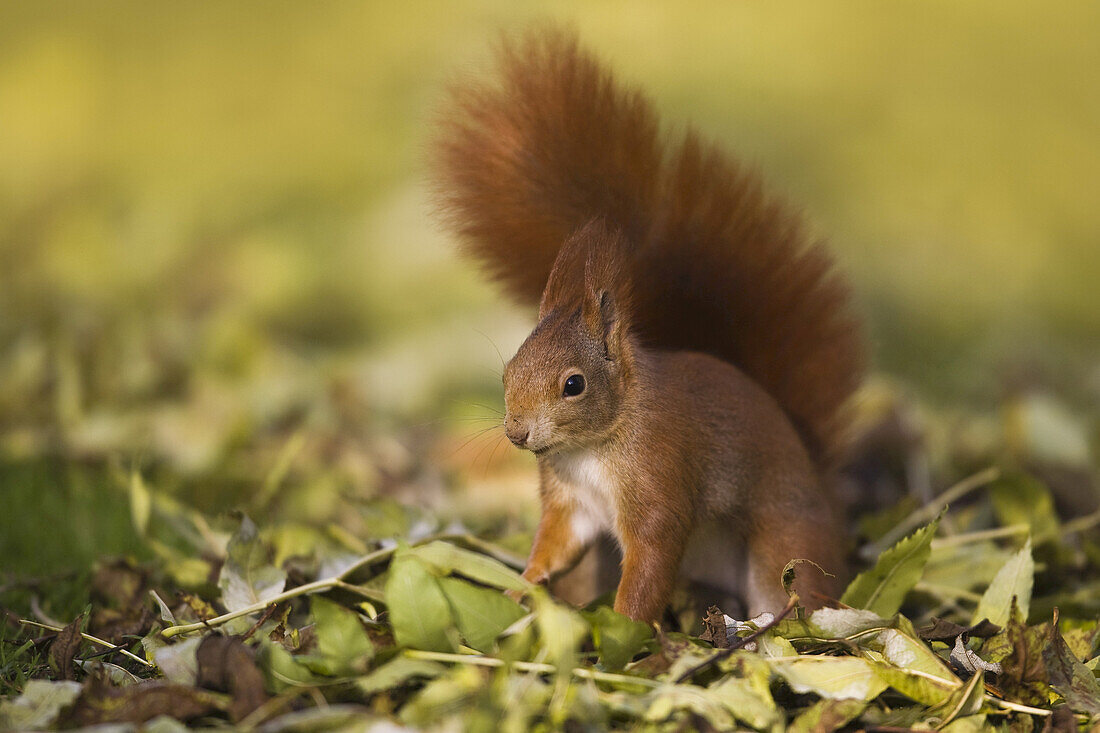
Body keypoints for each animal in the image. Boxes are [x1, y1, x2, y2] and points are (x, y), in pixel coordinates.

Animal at [429, 29, 866, 620]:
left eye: (574, 384)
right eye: (507, 373)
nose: (517, 433)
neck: (592, 448)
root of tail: (827, 497)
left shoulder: (659, 478)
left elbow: (651, 559)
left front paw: (622, 626)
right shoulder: (570, 503)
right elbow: (555, 545)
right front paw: (520, 585)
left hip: (783, 545)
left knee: (796, 585)